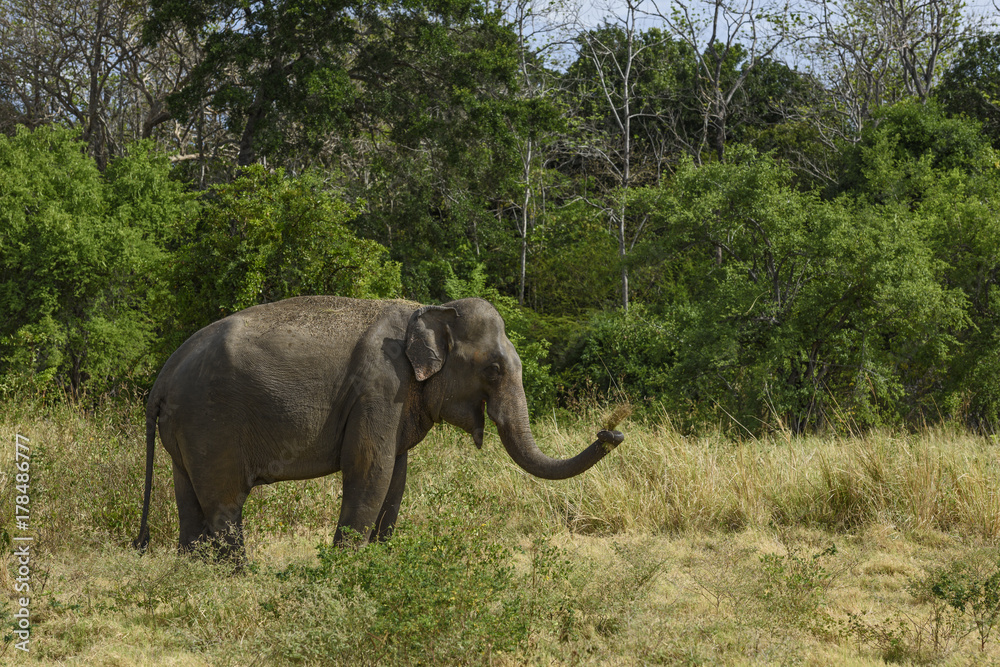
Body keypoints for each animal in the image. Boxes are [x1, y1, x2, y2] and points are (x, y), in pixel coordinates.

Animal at [133, 296, 624, 559]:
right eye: (494, 370)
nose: (612, 432)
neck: (428, 309)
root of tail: (161, 380)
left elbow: (397, 477)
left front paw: (381, 561)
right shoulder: (381, 388)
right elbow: (371, 470)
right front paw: (342, 570)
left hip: (185, 432)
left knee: (189, 502)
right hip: (210, 423)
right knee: (224, 506)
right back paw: (239, 579)